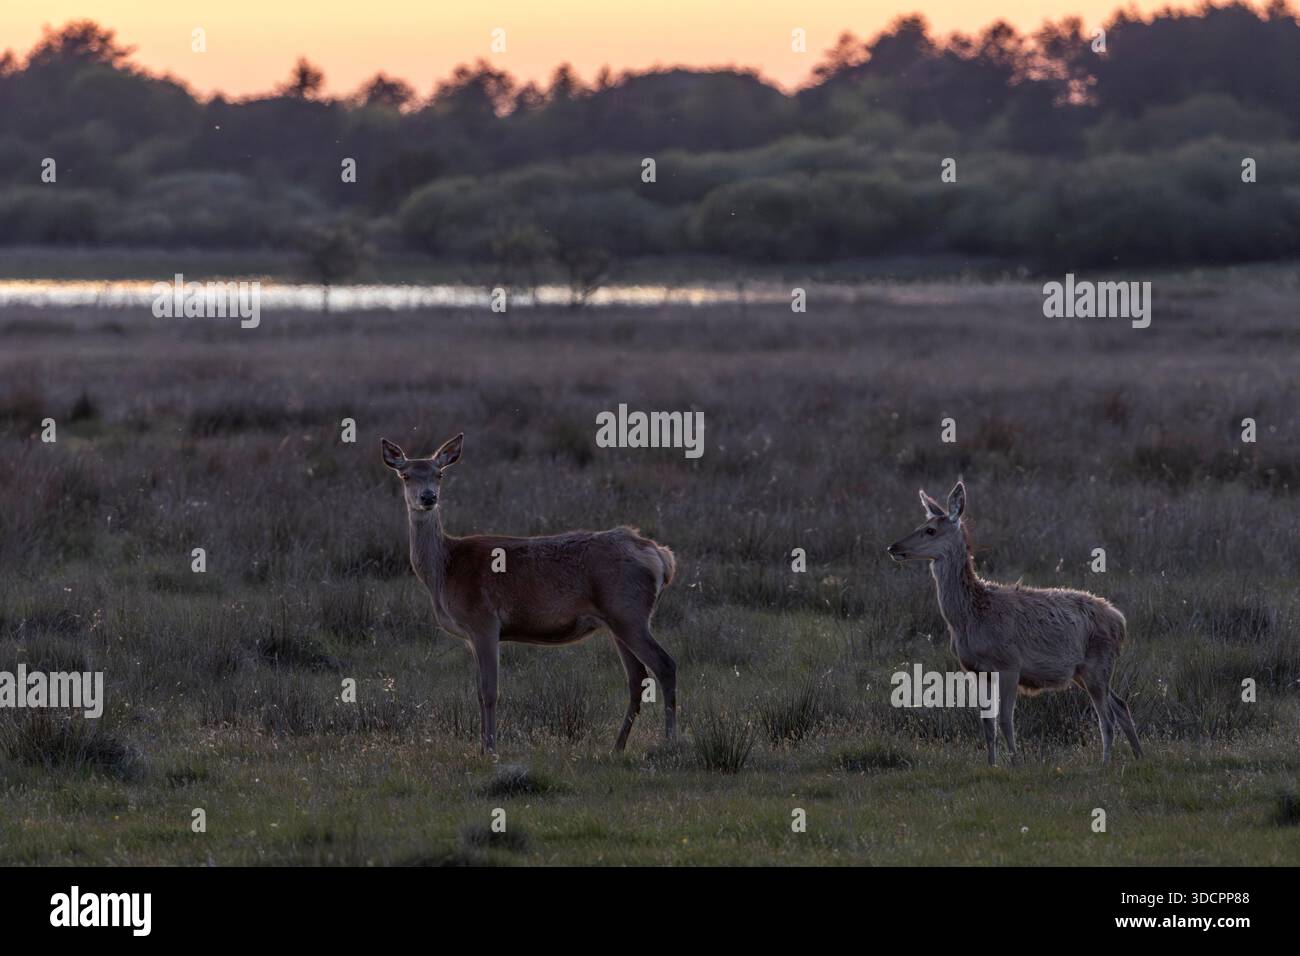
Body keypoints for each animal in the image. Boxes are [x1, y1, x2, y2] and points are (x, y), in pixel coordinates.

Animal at [380, 433, 678, 756]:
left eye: (440, 474)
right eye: (406, 475)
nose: (428, 497)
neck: (444, 571)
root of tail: (662, 556)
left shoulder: (483, 620)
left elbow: (489, 691)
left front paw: (491, 750)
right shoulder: (471, 635)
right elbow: (478, 690)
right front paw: (482, 748)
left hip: (628, 611)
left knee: (665, 665)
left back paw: (669, 742)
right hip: (618, 620)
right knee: (637, 678)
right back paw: (617, 747)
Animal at [886, 480, 1142, 767]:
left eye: (930, 530)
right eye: (920, 525)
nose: (893, 547)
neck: (971, 617)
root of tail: (1120, 621)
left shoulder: (1009, 664)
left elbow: (1006, 720)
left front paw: (1016, 763)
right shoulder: (977, 670)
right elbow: (987, 723)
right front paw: (991, 764)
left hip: (1097, 664)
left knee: (1106, 718)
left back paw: (1105, 763)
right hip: (1085, 671)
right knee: (1121, 704)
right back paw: (1140, 756)